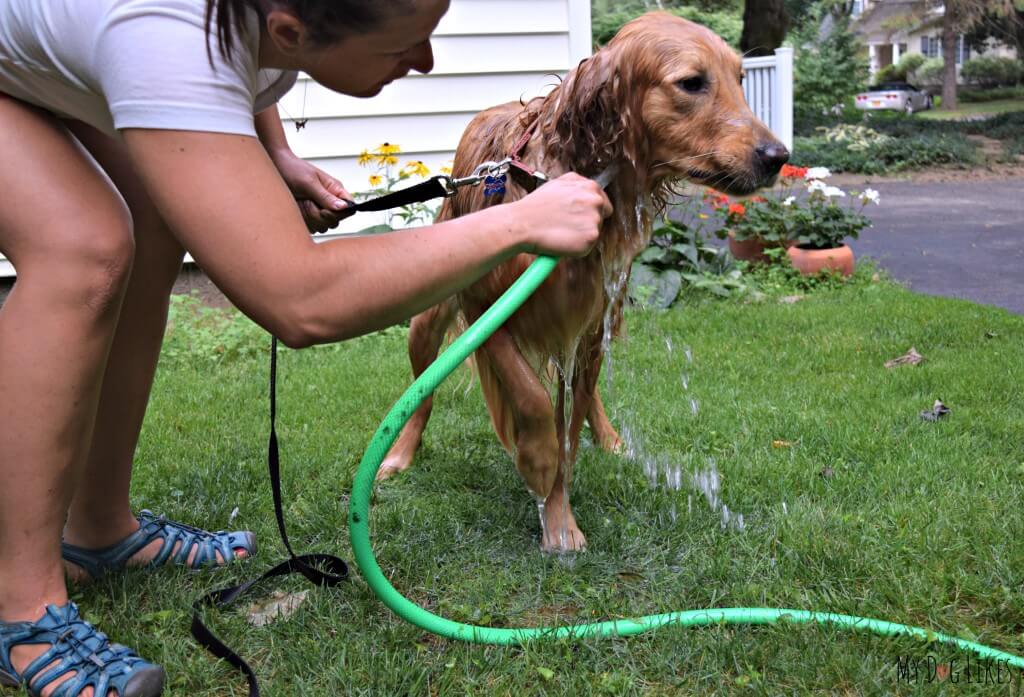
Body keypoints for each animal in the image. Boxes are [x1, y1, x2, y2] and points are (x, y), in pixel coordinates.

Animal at [380, 12, 786, 548]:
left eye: (740, 79)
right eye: (692, 83)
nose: (778, 156)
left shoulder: (589, 324)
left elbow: (569, 431)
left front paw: (558, 518)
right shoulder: (483, 307)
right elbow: (531, 398)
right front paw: (537, 461)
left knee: (587, 395)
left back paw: (610, 437)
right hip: (425, 323)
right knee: (421, 393)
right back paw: (399, 454)